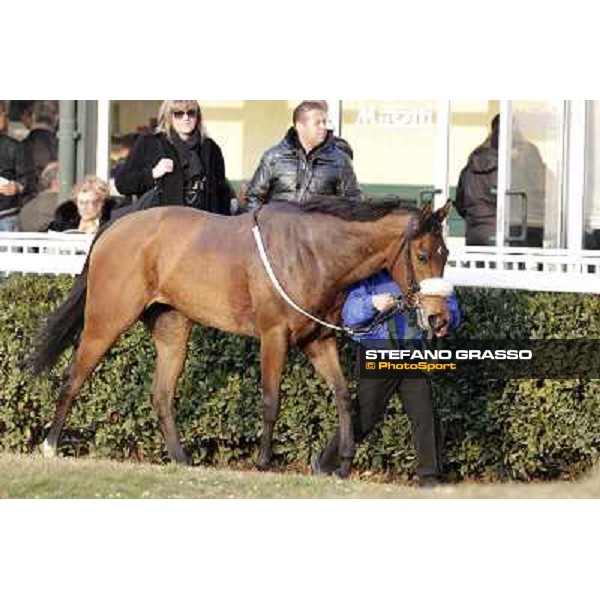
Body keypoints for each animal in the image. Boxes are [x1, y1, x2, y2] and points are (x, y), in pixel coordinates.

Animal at [28, 197, 450, 478]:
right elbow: (271, 400)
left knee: (162, 395)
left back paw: (182, 461)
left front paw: (342, 465)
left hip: (172, 329)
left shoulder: (317, 340)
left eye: (446, 254)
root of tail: (114, 227)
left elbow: (344, 396)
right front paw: (263, 462)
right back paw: (49, 447)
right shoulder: (274, 336)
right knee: (74, 377)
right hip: (107, 320)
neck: (311, 252)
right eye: (423, 255)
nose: (439, 318)